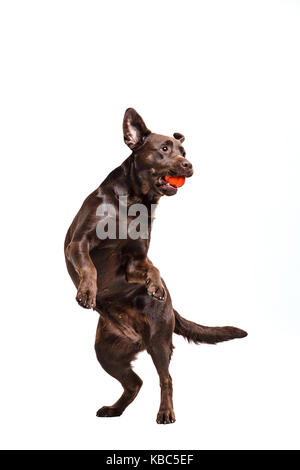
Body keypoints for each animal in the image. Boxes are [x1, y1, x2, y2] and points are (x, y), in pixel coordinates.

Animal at [64, 108, 247, 424]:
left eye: (184, 152)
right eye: (163, 149)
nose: (189, 165)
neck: (134, 203)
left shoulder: (136, 259)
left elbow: (154, 268)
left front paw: (156, 286)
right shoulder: (79, 243)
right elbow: (89, 268)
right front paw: (87, 292)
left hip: (158, 341)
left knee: (165, 379)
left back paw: (165, 412)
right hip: (107, 352)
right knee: (134, 383)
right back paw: (114, 410)